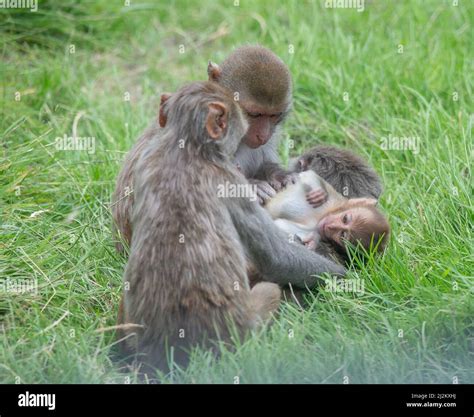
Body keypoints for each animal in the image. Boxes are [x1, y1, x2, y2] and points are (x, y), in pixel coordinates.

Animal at [116, 80, 342, 370]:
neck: (186, 146)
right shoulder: (230, 179)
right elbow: (275, 257)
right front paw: (346, 275)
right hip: (242, 329)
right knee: (270, 289)